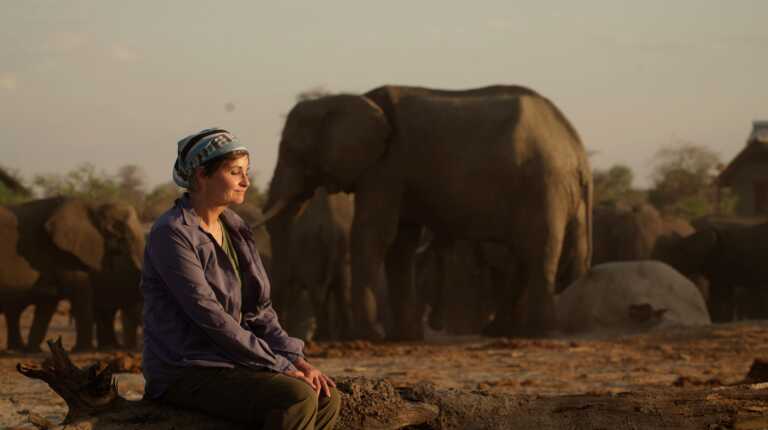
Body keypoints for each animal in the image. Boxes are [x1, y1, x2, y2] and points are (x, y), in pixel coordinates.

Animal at [0, 197, 145, 351]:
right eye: (120, 233)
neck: (92, 206)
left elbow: (48, 303)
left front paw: (34, 351)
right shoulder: (64, 254)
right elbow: (80, 292)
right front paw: (84, 350)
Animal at [268, 187, 354, 341]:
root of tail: (329, 225)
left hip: (312, 245)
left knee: (319, 291)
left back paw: (322, 337)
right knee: (342, 289)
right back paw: (341, 337)